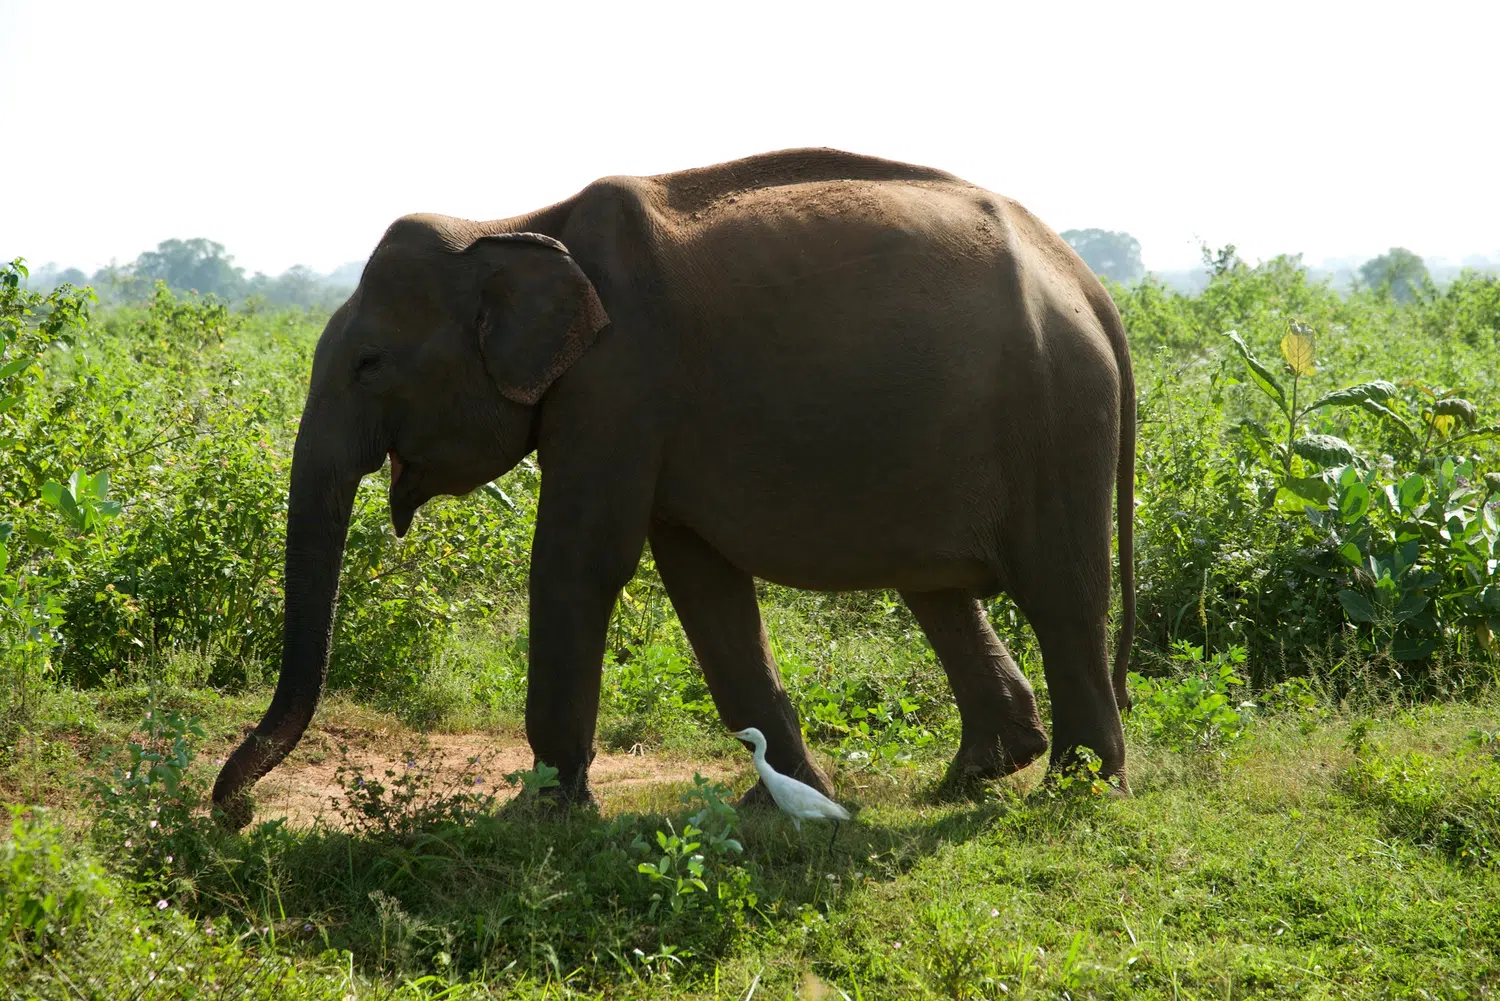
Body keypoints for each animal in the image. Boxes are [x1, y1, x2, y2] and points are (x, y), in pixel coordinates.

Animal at [212, 147, 1136, 828]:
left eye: (369, 363)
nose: (233, 808)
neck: (513, 224)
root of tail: (1089, 284)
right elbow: (701, 582)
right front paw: (778, 803)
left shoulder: (620, 377)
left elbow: (581, 562)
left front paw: (542, 819)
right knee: (938, 588)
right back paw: (979, 773)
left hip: (1055, 418)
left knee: (1061, 593)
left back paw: (1077, 789)